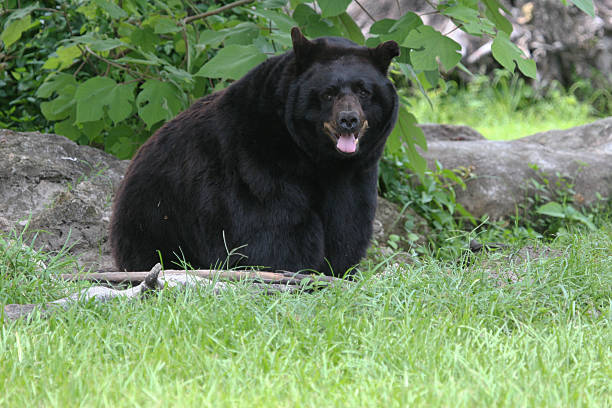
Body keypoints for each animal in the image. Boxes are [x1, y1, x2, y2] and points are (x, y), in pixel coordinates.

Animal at [109, 27, 400, 278]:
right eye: (328, 93)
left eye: (364, 91)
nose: (348, 120)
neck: (316, 157)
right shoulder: (256, 162)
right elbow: (273, 229)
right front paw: (292, 267)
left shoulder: (357, 173)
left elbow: (348, 225)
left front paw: (337, 267)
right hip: (157, 218)